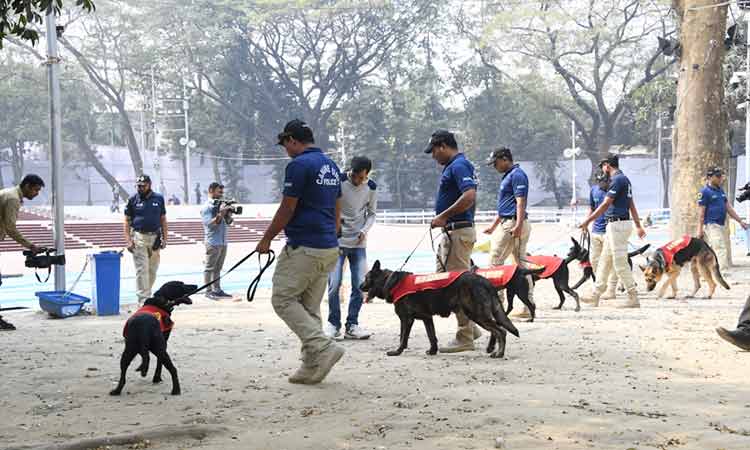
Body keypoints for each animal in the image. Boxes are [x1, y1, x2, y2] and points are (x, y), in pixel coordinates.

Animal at [362, 260, 520, 358]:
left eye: (366, 278)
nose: (359, 286)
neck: (391, 282)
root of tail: (485, 281)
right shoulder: (427, 318)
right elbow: (432, 336)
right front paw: (433, 351)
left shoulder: (406, 319)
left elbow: (403, 338)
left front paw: (397, 351)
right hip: (479, 314)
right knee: (498, 330)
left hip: (476, 314)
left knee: (501, 331)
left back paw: (499, 353)